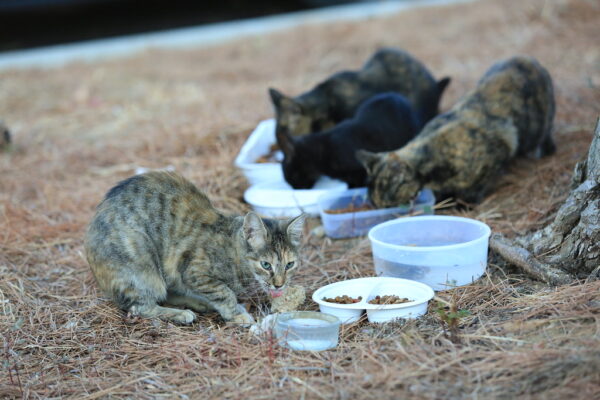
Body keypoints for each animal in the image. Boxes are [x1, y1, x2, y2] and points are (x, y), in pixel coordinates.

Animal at [83, 172, 304, 324]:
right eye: (266, 265)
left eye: (290, 264)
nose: (279, 285)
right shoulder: (194, 271)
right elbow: (224, 291)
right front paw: (235, 314)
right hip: (143, 265)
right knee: (140, 307)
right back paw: (181, 314)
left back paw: (199, 302)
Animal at [356, 55, 556, 208]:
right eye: (374, 205)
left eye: (386, 206)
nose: (381, 213)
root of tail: (526, 58)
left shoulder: (498, 151)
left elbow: (474, 189)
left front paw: (463, 204)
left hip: (544, 120)